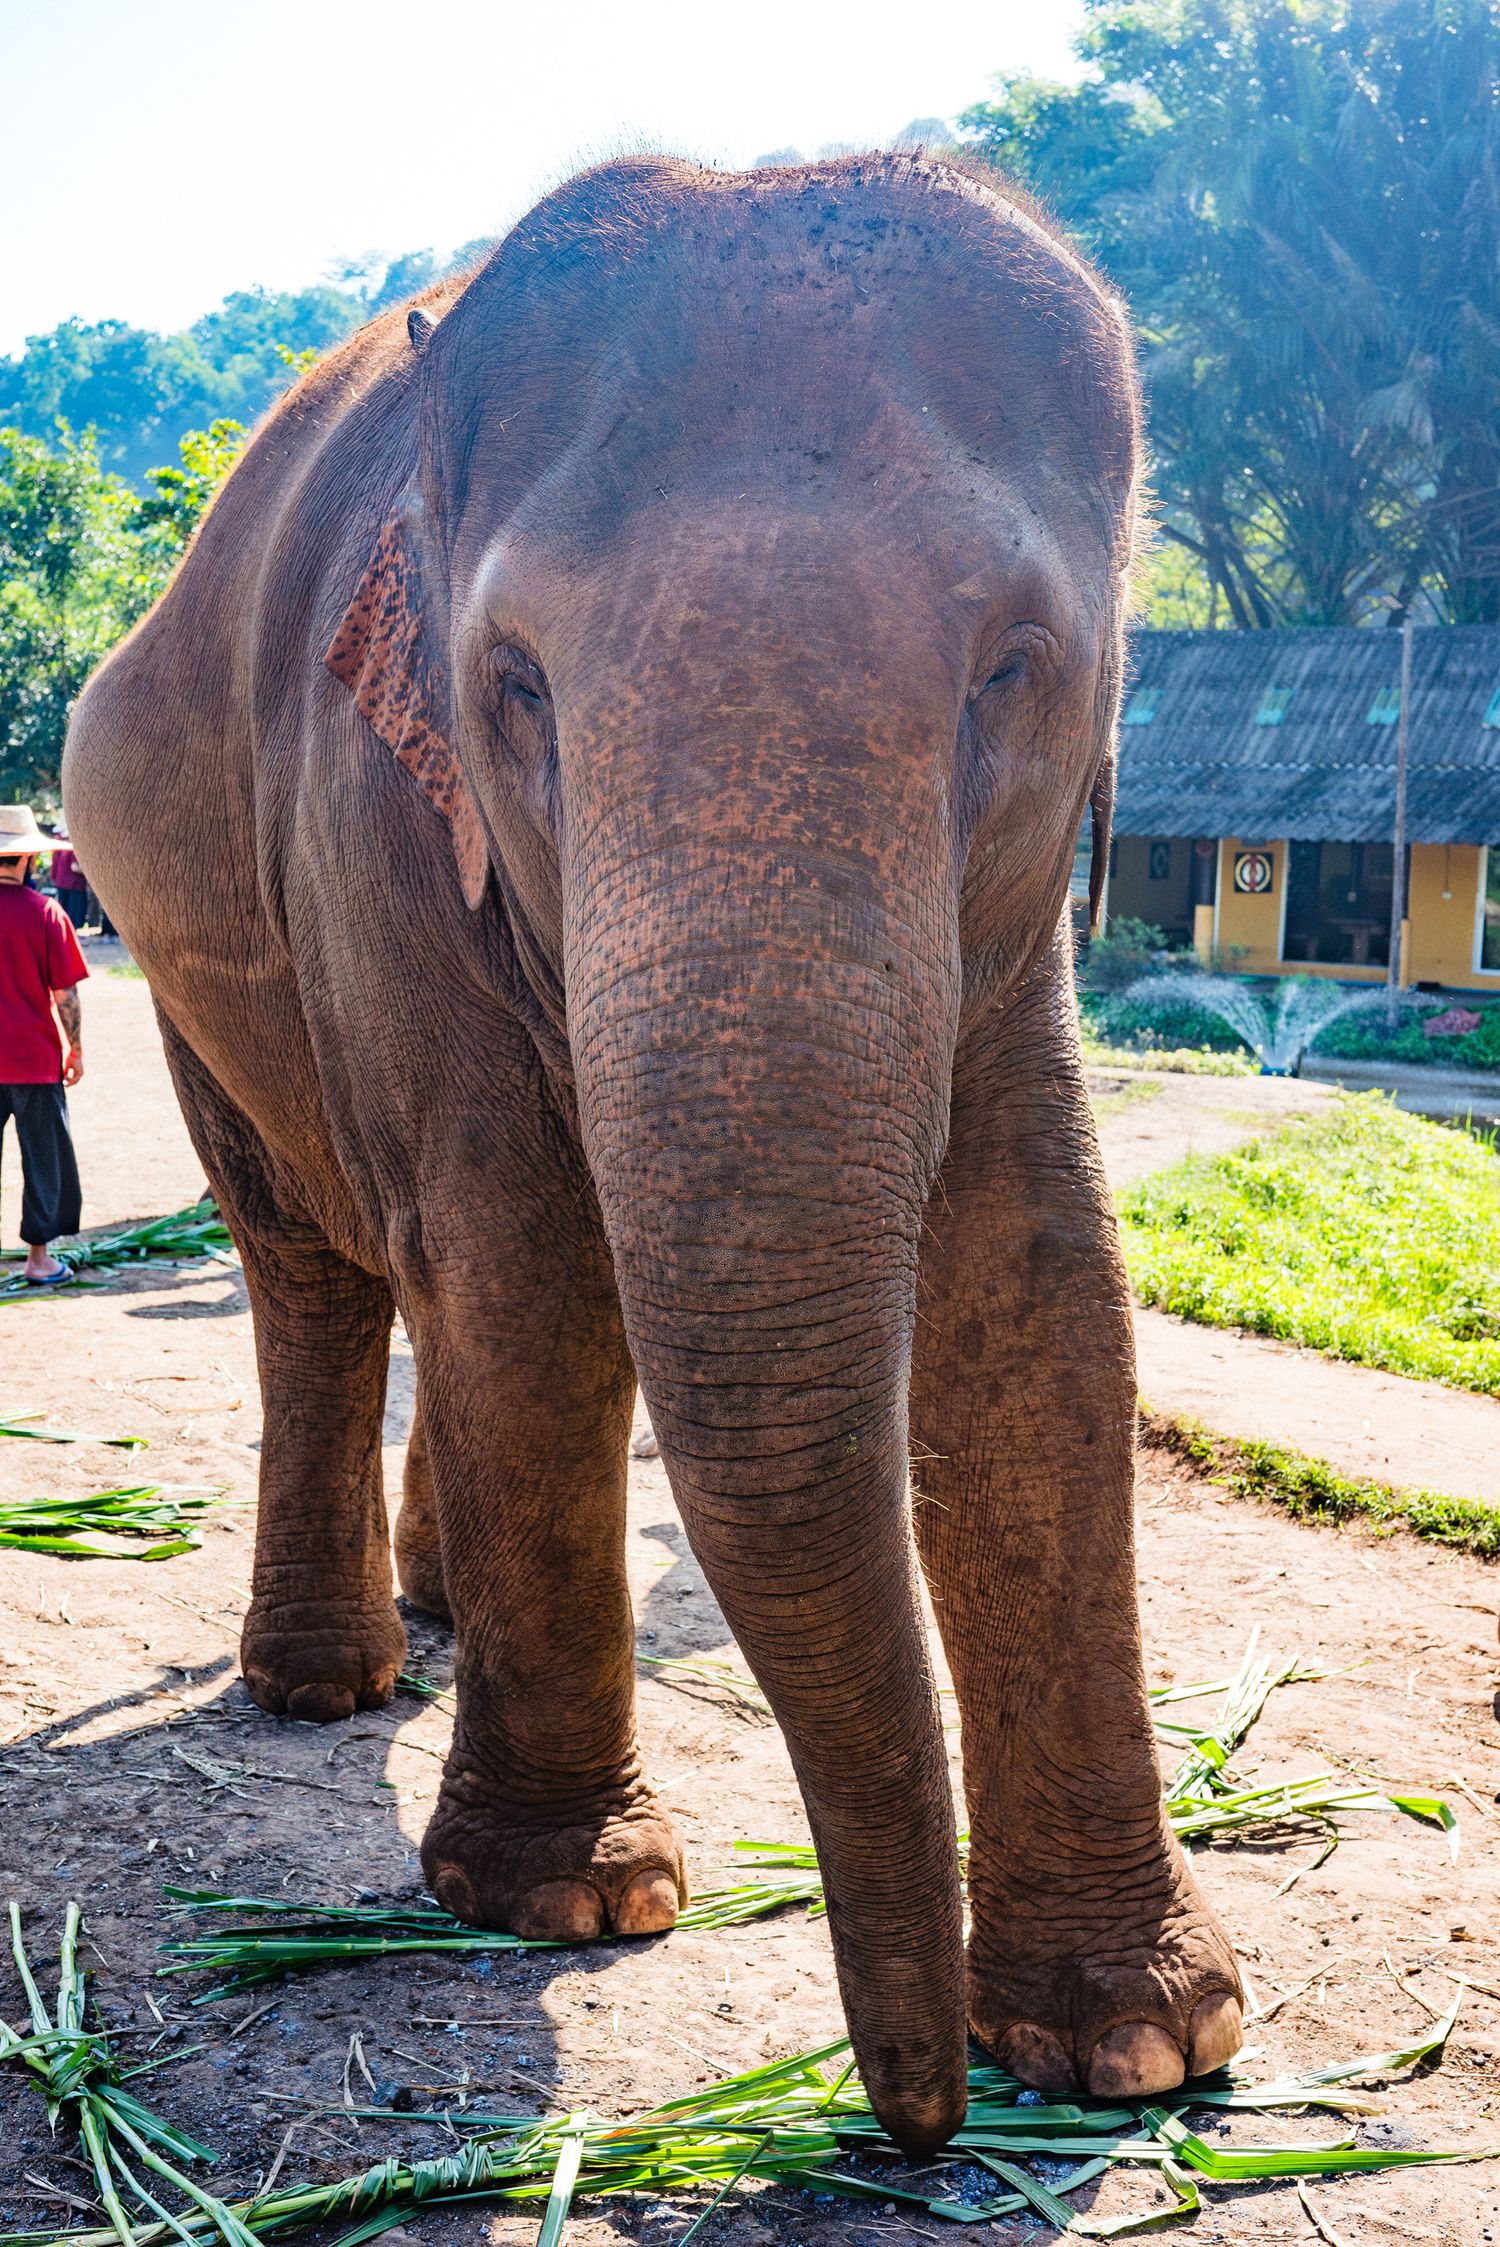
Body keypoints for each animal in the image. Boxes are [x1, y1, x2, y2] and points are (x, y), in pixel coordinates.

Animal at [64, 152, 1243, 2151]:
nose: (914, 2117)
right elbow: (522, 1265)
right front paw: (569, 1900)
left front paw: (1138, 2044)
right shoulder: (380, 820)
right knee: (322, 1267)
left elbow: (1039, 1291)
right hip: (179, 941)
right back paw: (328, 1679)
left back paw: (436, 1607)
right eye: (517, 685)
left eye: (1017, 666)